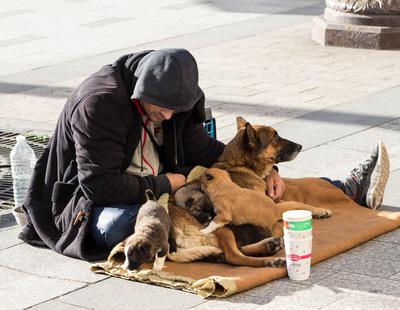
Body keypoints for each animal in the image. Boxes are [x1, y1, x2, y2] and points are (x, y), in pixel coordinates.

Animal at [167, 117, 332, 268]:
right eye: (275, 138)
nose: (300, 146)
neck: (241, 165)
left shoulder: (273, 200)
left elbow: (297, 204)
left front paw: (318, 210)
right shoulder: (273, 206)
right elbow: (295, 203)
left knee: (234, 251)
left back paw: (269, 246)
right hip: (223, 228)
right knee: (234, 256)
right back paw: (270, 259)